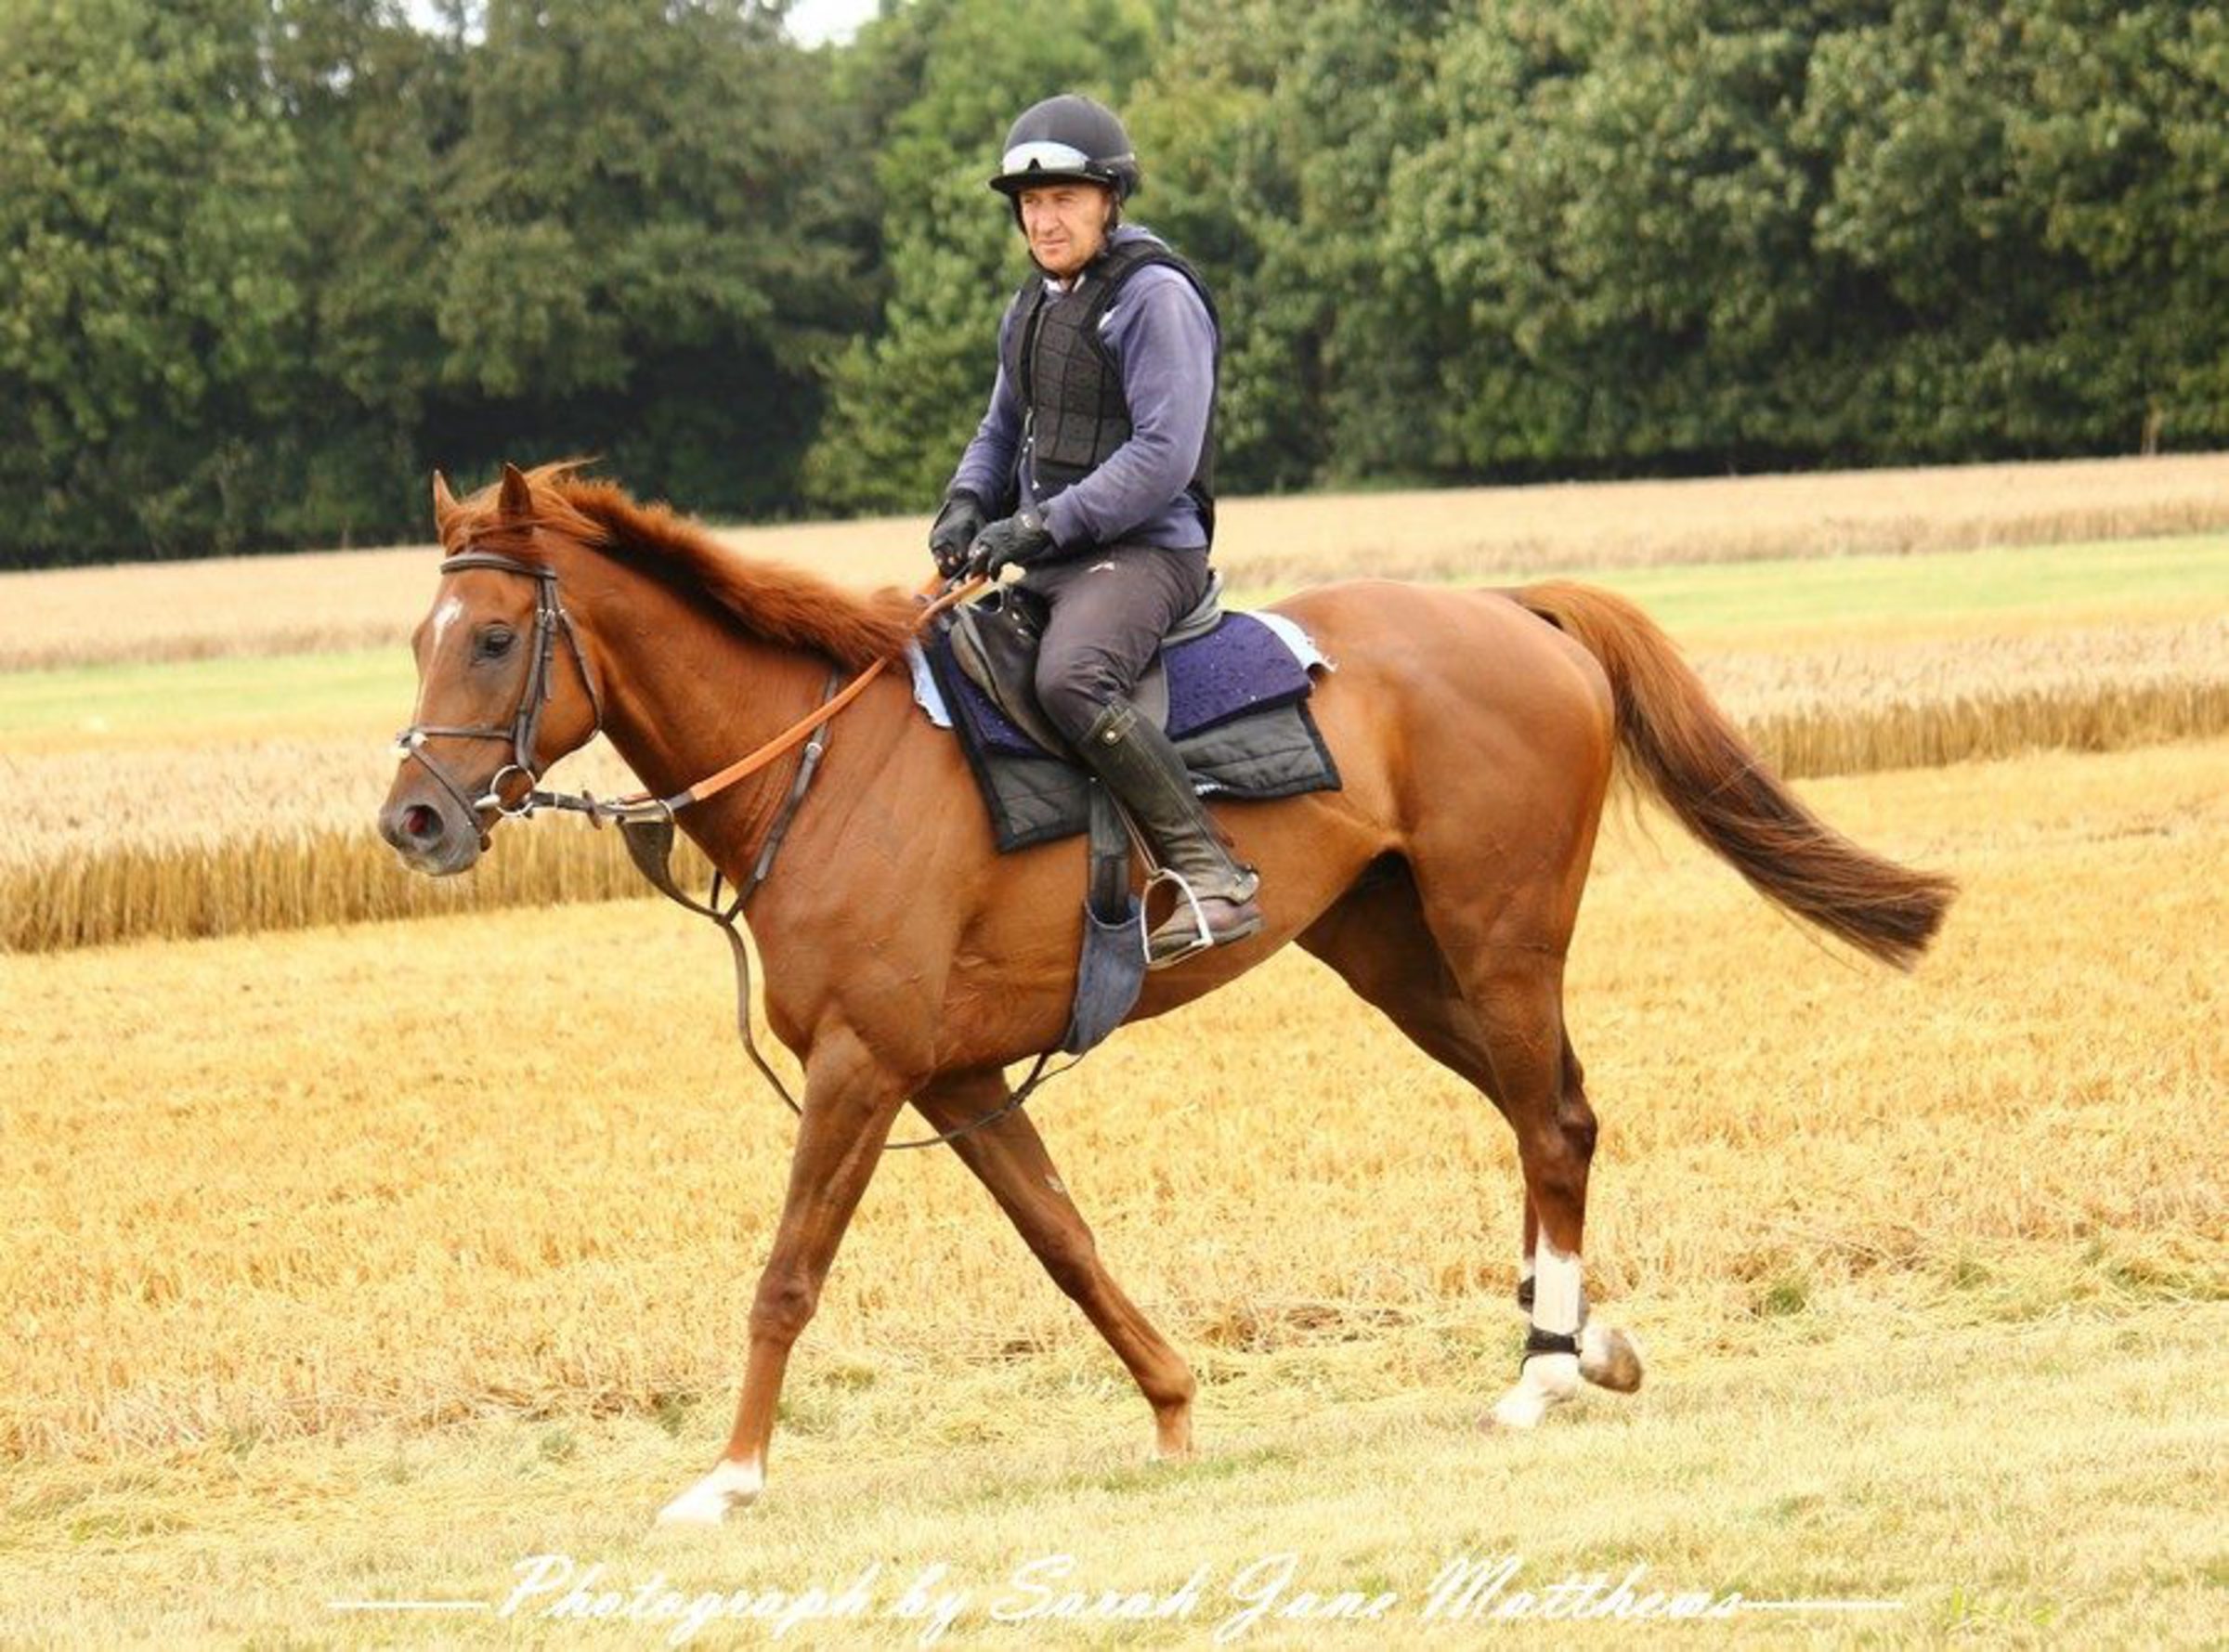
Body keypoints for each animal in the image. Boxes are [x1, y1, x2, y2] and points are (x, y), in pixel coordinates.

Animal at [379, 462, 1954, 1525]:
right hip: (1395, 957)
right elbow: (1068, 1245)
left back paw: (1542, 1372)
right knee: (1546, 1111)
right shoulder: (955, 1078)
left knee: (1554, 1122)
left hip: (1498, 937)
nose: (413, 820)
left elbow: (787, 1272)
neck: (822, 764)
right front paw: (1176, 1404)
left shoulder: (862, 1065)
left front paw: (731, 1474)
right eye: (419, 636)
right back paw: (1583, 1339)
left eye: (497, 638)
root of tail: (1519, 614)